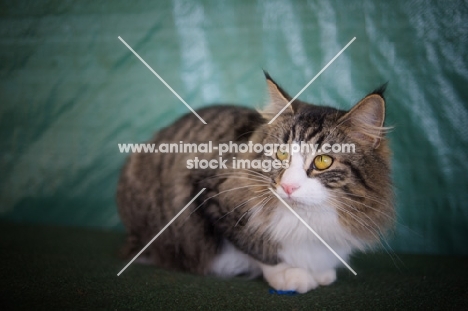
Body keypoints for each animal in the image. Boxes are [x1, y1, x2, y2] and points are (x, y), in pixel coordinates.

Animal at [115, 72, 394, 294]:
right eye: (281, 154)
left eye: (323, 161)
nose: (288, 187)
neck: (306, 220)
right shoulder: (211, 195)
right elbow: (257, 243)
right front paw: (290, 274)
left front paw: (320, 272)